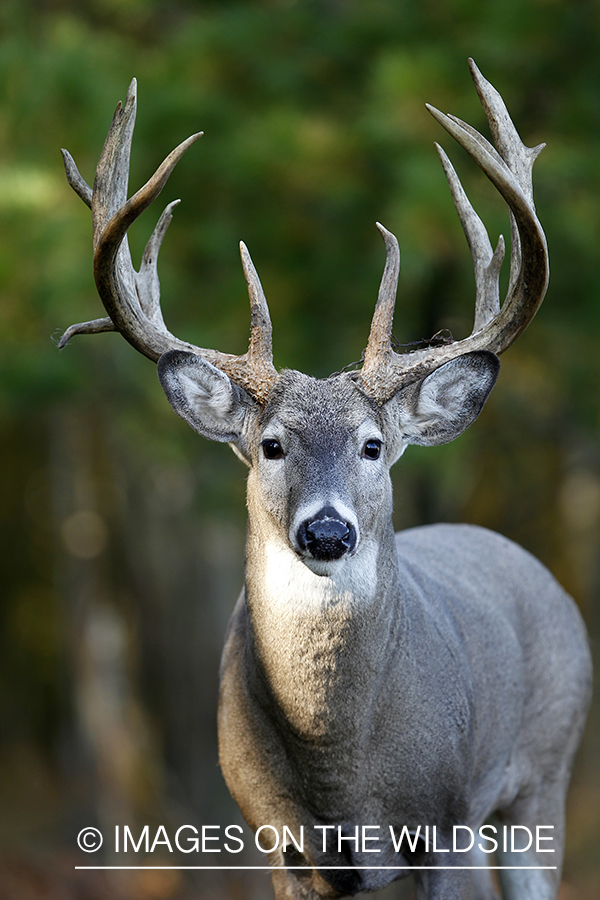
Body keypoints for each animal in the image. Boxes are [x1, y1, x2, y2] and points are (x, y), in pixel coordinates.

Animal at [61, 63, 592, 900]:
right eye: (271, 446)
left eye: (373, 446)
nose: (328, 530)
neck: (342, 769)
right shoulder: (278, 841)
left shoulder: (446, 823)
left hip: (543, 774)